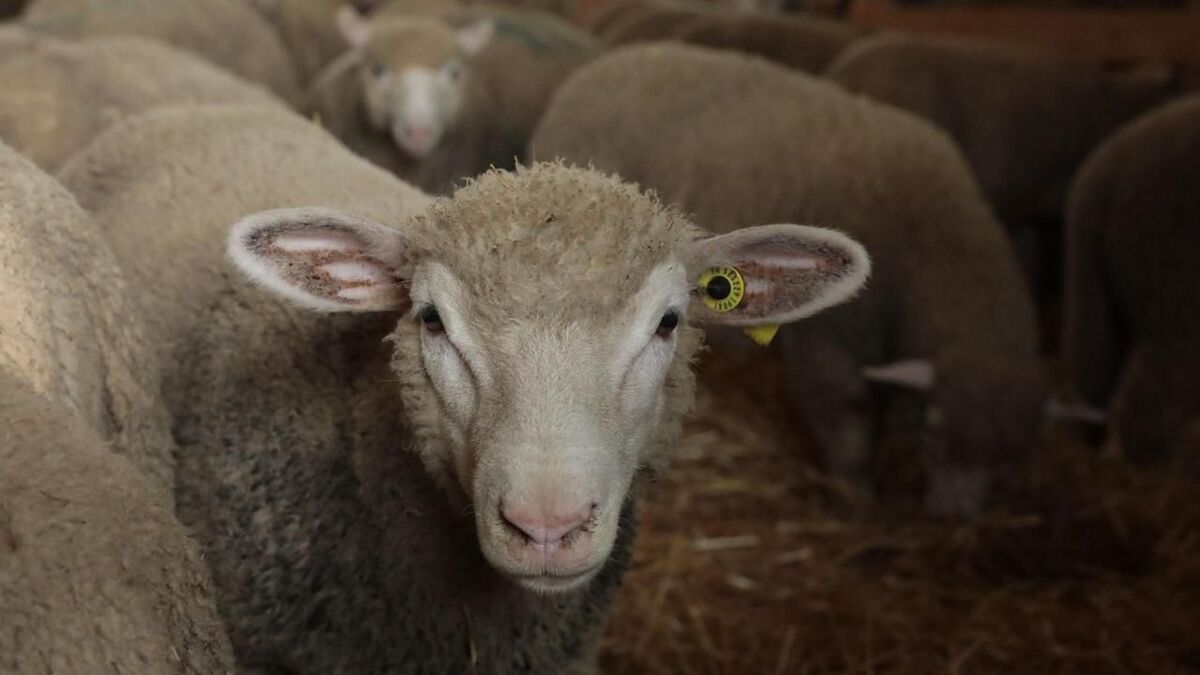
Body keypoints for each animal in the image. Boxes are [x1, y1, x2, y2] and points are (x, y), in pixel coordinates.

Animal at [532, 43, 1045, 517]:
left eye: (1007, 465)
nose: (951, 518)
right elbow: (847, 418)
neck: (931, 242)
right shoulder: (830, 342)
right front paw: (855, 495)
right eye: (937, 431)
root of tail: (608, 62)